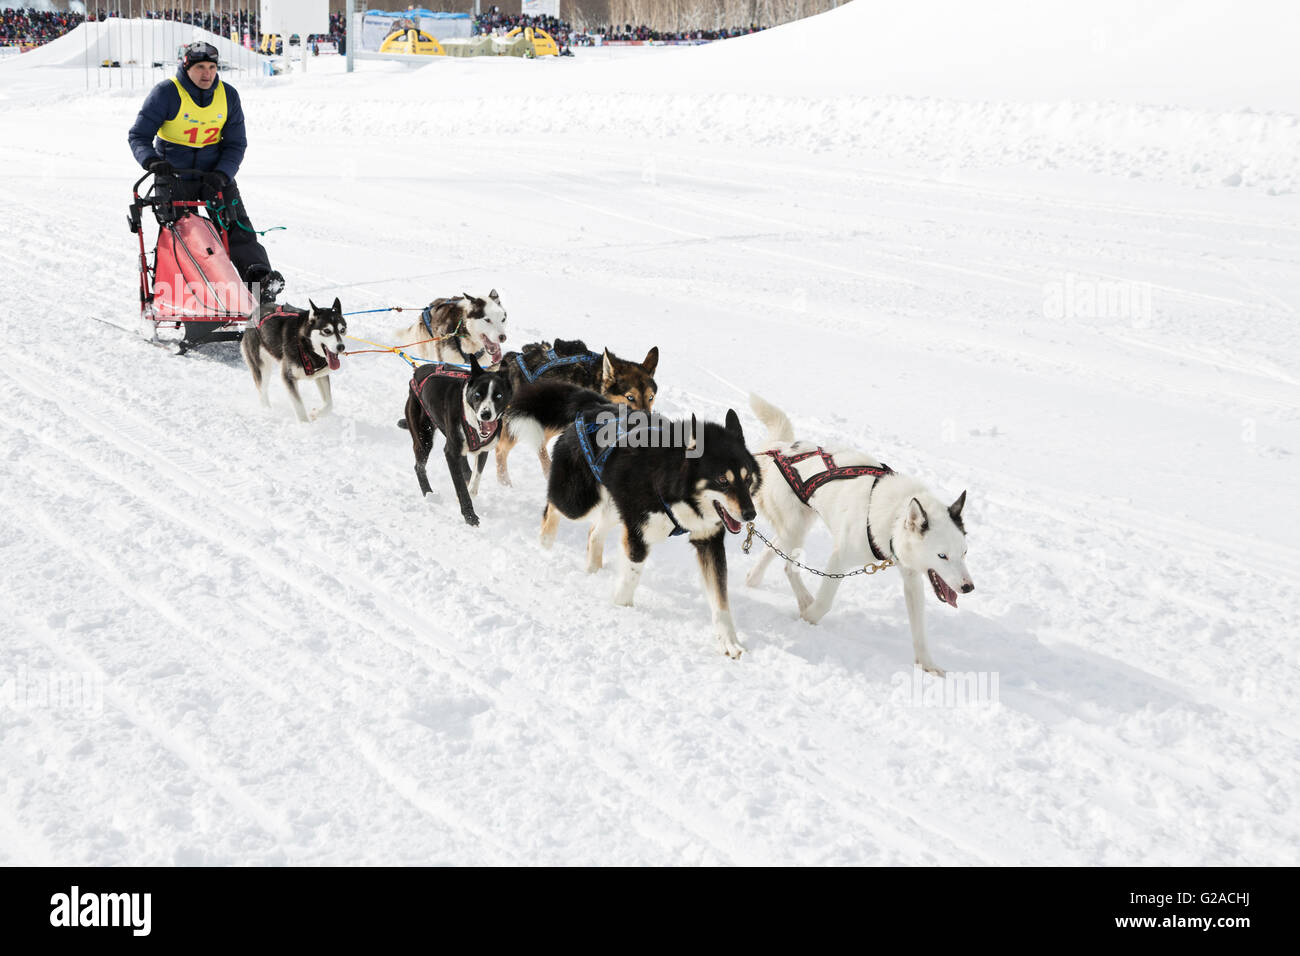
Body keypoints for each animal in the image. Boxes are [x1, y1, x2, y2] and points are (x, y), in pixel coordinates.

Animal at [400, 356, 512, 528]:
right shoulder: (451, 453)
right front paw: (470, 516)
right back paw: (428, 493)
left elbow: (474, 481)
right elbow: (461, 488)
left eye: (498, 396)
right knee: (419, 467)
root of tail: (417, 372)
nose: (485, 414)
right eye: (478, 394)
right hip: (423, 437)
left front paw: (471, 490)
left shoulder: (483, 451)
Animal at [748, 392, 972, 676]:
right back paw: (803, 601)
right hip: (795, 529)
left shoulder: (912, 578)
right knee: (789, 567)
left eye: (964, 553)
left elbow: (920, 630)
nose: (969, 587)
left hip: (796, 527)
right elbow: (825, 602)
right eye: (942, 556)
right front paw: (808, 619)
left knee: (775, 549)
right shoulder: (839, 558)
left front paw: (928, 665)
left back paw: (753, 579)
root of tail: (782, 448)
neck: (895, 515)